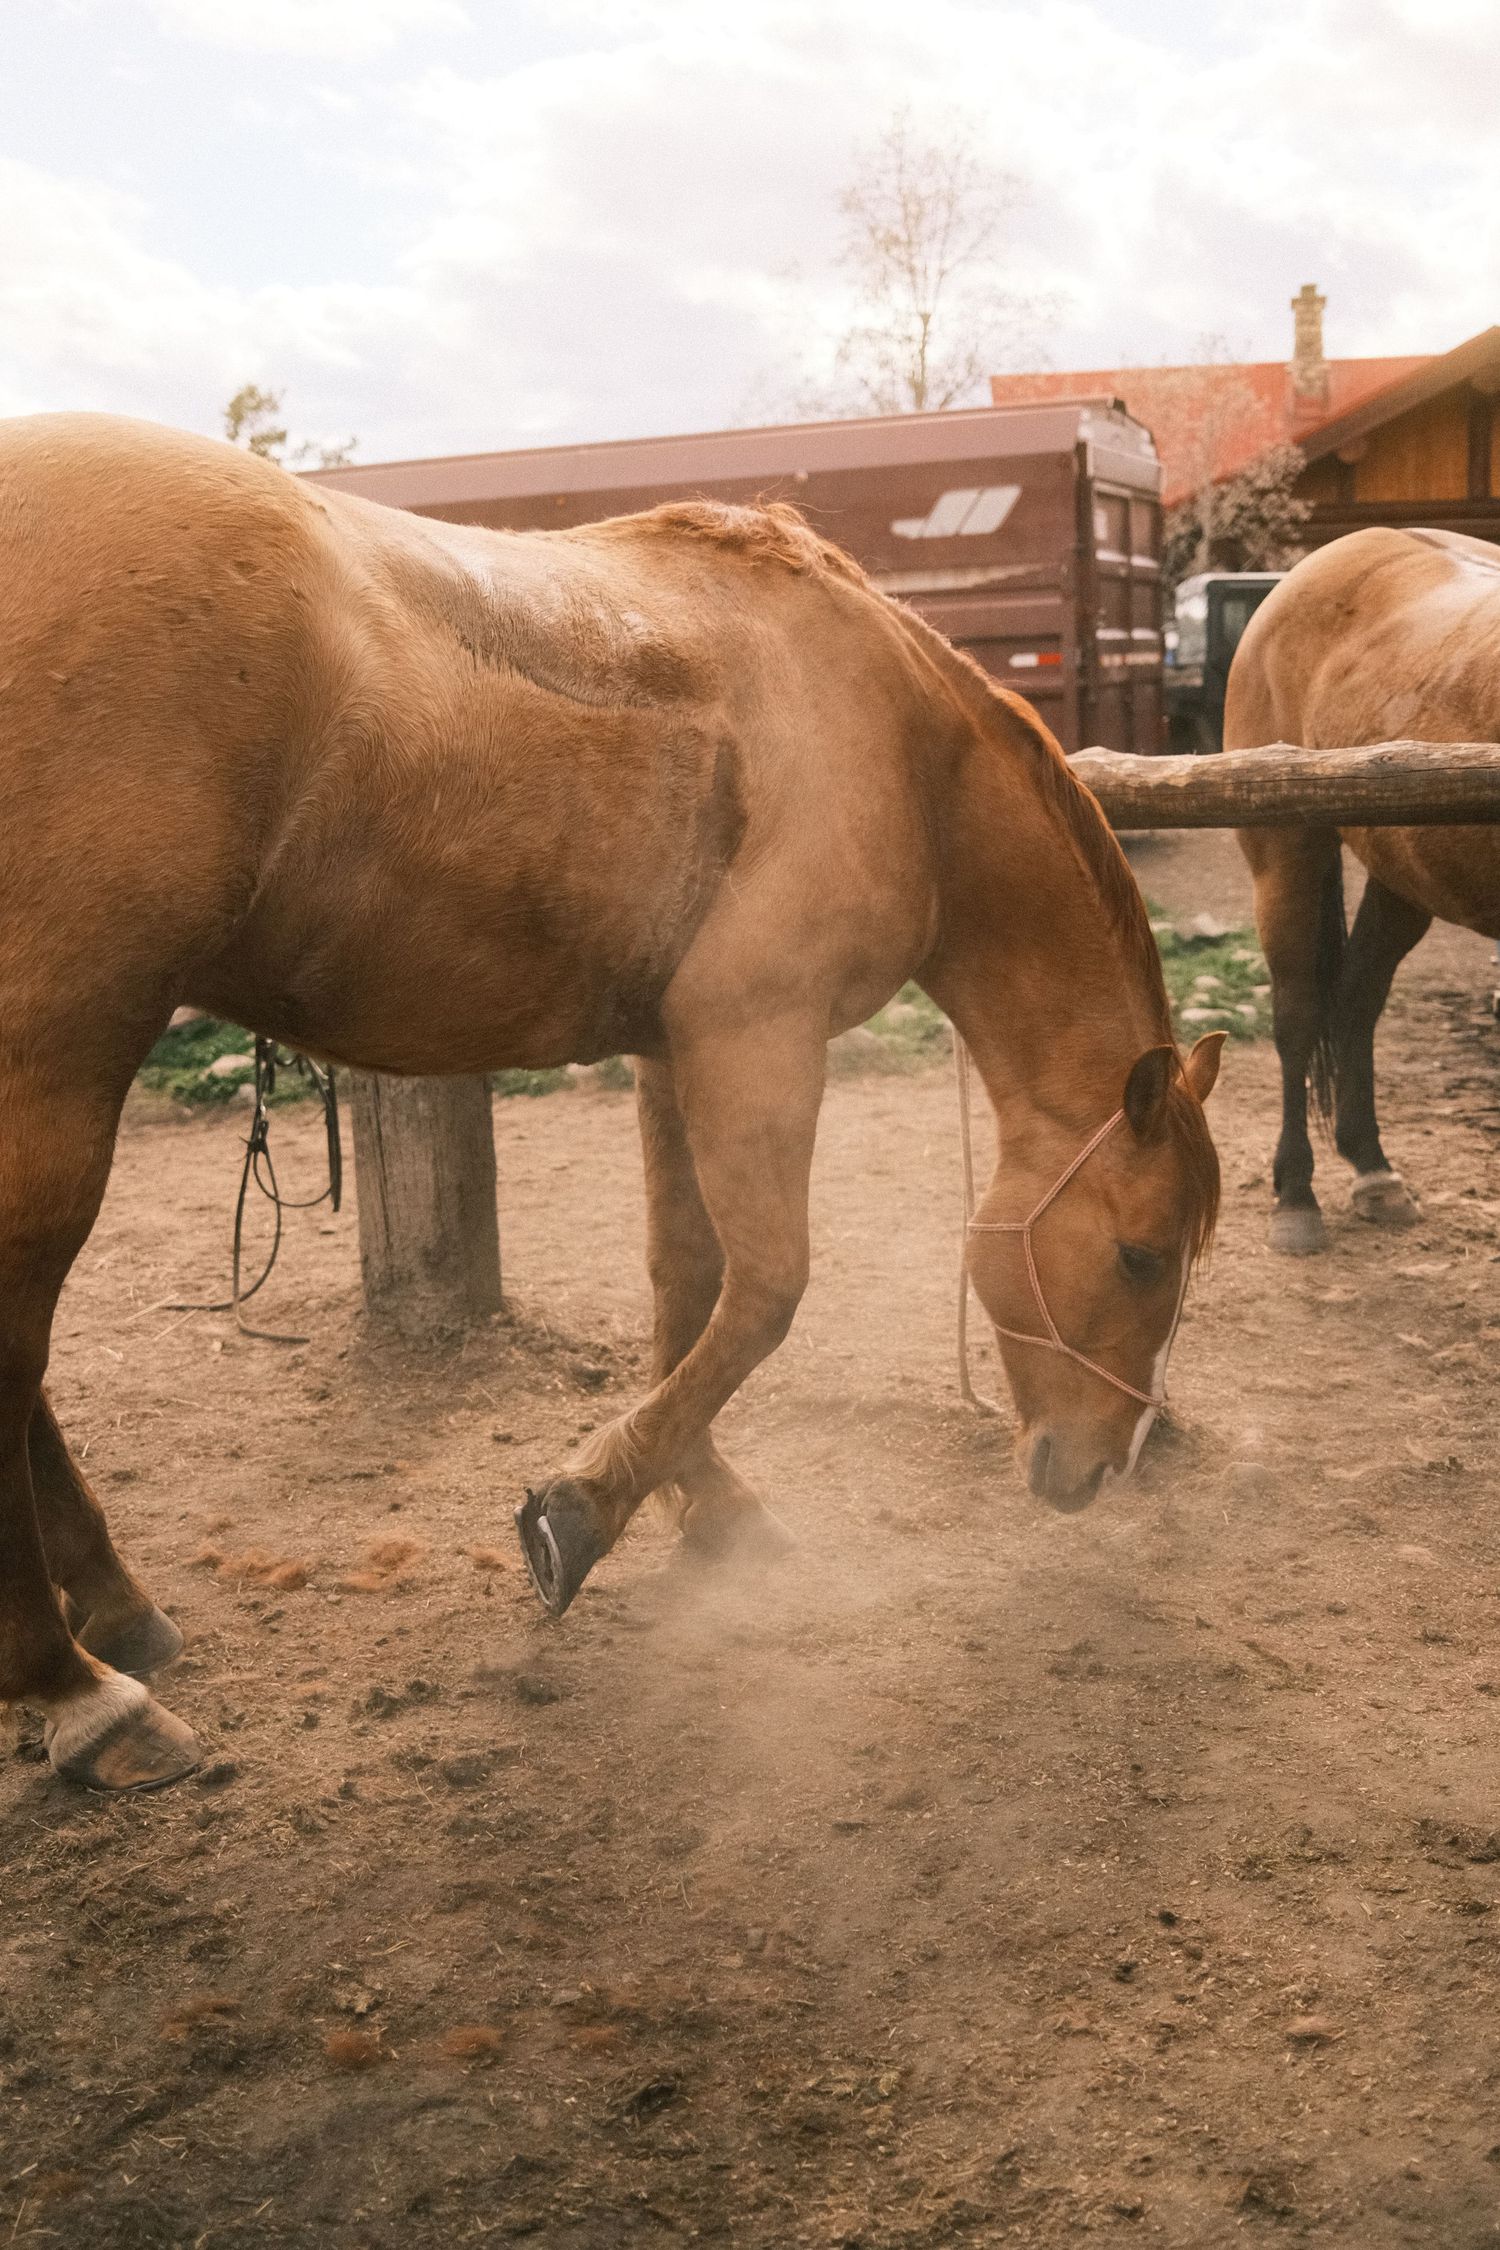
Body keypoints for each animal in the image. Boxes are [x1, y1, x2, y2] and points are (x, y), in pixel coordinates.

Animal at [0, 412, 1224, 1792]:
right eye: (1140, 1254)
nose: (1100, 1468)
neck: (901, 744)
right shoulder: (756, 1035)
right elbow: (766, 1293)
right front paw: (582, 1512)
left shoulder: (674, 1049)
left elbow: (686, 1282)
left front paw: (709, 1505)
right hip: (62, 1055)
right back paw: (81, 1693)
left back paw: (119, 1614)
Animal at [1228, 525, 1500, 1254]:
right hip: (1287, 856)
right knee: (1298, 1016)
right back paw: (1296, 1197)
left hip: (1402, 875)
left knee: (1355, 997)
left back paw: (1373, 1171)